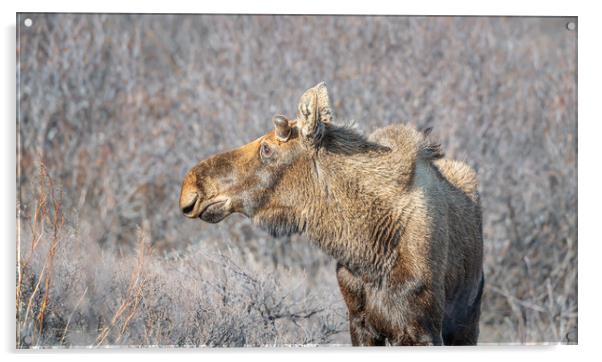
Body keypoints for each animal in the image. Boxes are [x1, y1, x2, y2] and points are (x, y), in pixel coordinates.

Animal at [178, 82, 482, 346]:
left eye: (266, 148)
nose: (190, 188)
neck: (366, 251)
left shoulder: (422, 329)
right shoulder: (359, 324)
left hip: (466, 322)